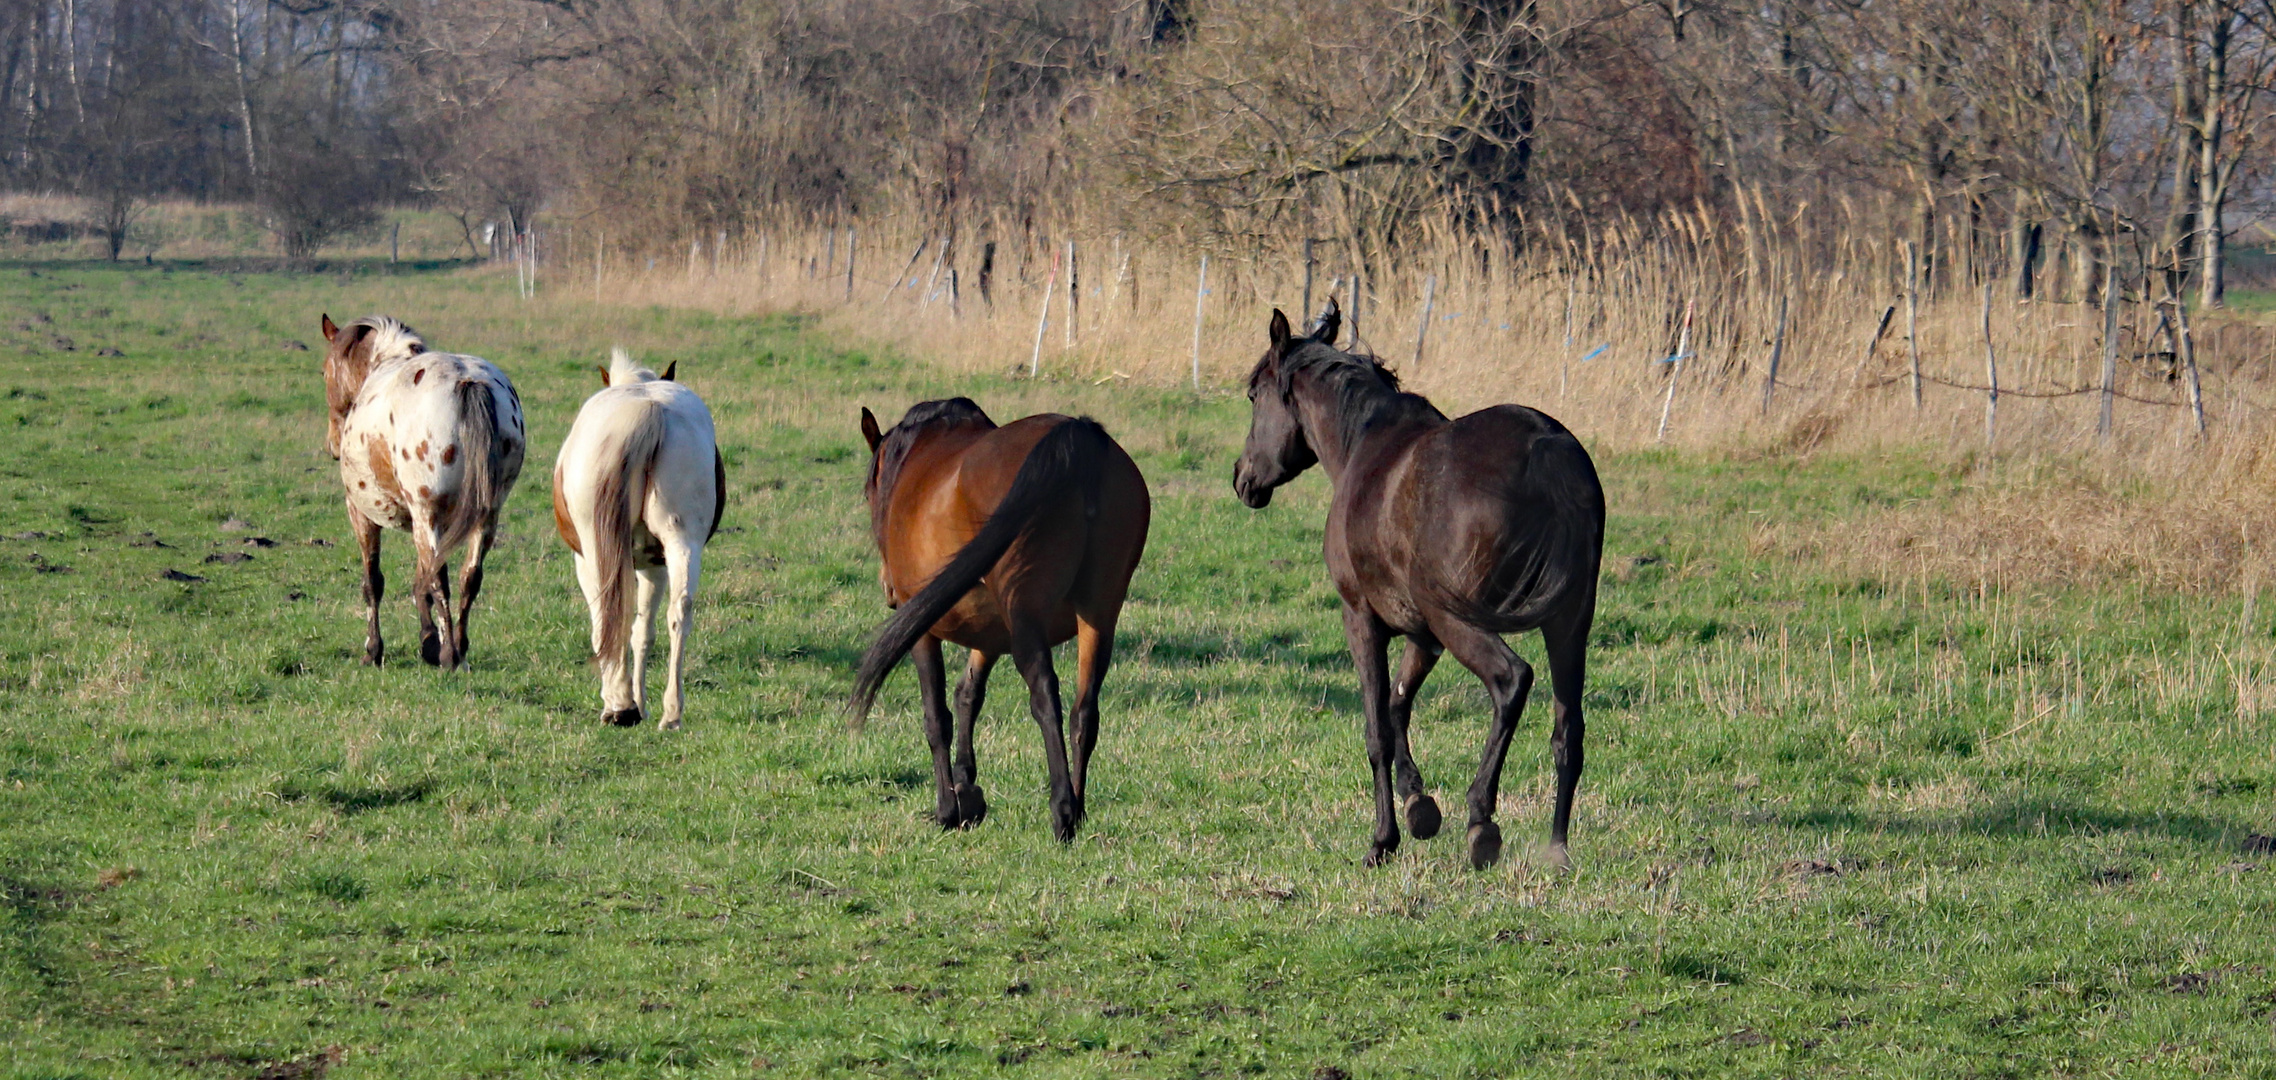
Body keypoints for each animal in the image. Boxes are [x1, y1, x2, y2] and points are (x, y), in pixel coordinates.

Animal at [325, 313, 528, 668]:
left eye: (325, 372)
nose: (332, 445)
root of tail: (467, 381)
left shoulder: (362, 514)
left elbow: (373, 582)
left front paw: (374, 650)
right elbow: (421, 583)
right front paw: (428, 642)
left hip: (426, 514)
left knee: (440, 580)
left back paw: (450, 656)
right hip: (484, 516)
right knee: (468, 576)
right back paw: (459, 647)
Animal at [550, 350, 719, 732]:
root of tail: (649, 409)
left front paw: (632, 702)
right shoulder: (655, 564)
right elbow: (643, 631)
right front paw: (642, 702)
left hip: (595, 554)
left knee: (606, 615)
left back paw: (619, 706)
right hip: (681, 541)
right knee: (679, 611)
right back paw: (671, 712)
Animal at [846, 400, 1147, 845]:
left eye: (871, 493)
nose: (887, 589)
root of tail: (1078, 441)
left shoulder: (924, 632)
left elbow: (936, 716)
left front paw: (947, 808)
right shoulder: (988, 637)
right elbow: (968, 696)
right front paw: (968, 791)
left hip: (1026, 615)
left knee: (1045, 697)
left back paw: (1062, 812)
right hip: (1099, 613)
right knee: (1085, 711)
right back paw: (1078, 806)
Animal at [1247, 302, 1602, 873]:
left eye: (1253, 395)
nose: (1243, 479)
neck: (1366, 447)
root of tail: (1548, 452)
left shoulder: (1363, 619)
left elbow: (1377, 729)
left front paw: (1383, 839)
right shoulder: (1422, 636)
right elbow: (1398, 706)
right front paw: (1419, 805)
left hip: (1463, 623)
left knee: (1512, 681)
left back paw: (1481, 820)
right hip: (1568, 625)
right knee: (1568, 732)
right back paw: (1556, 849)